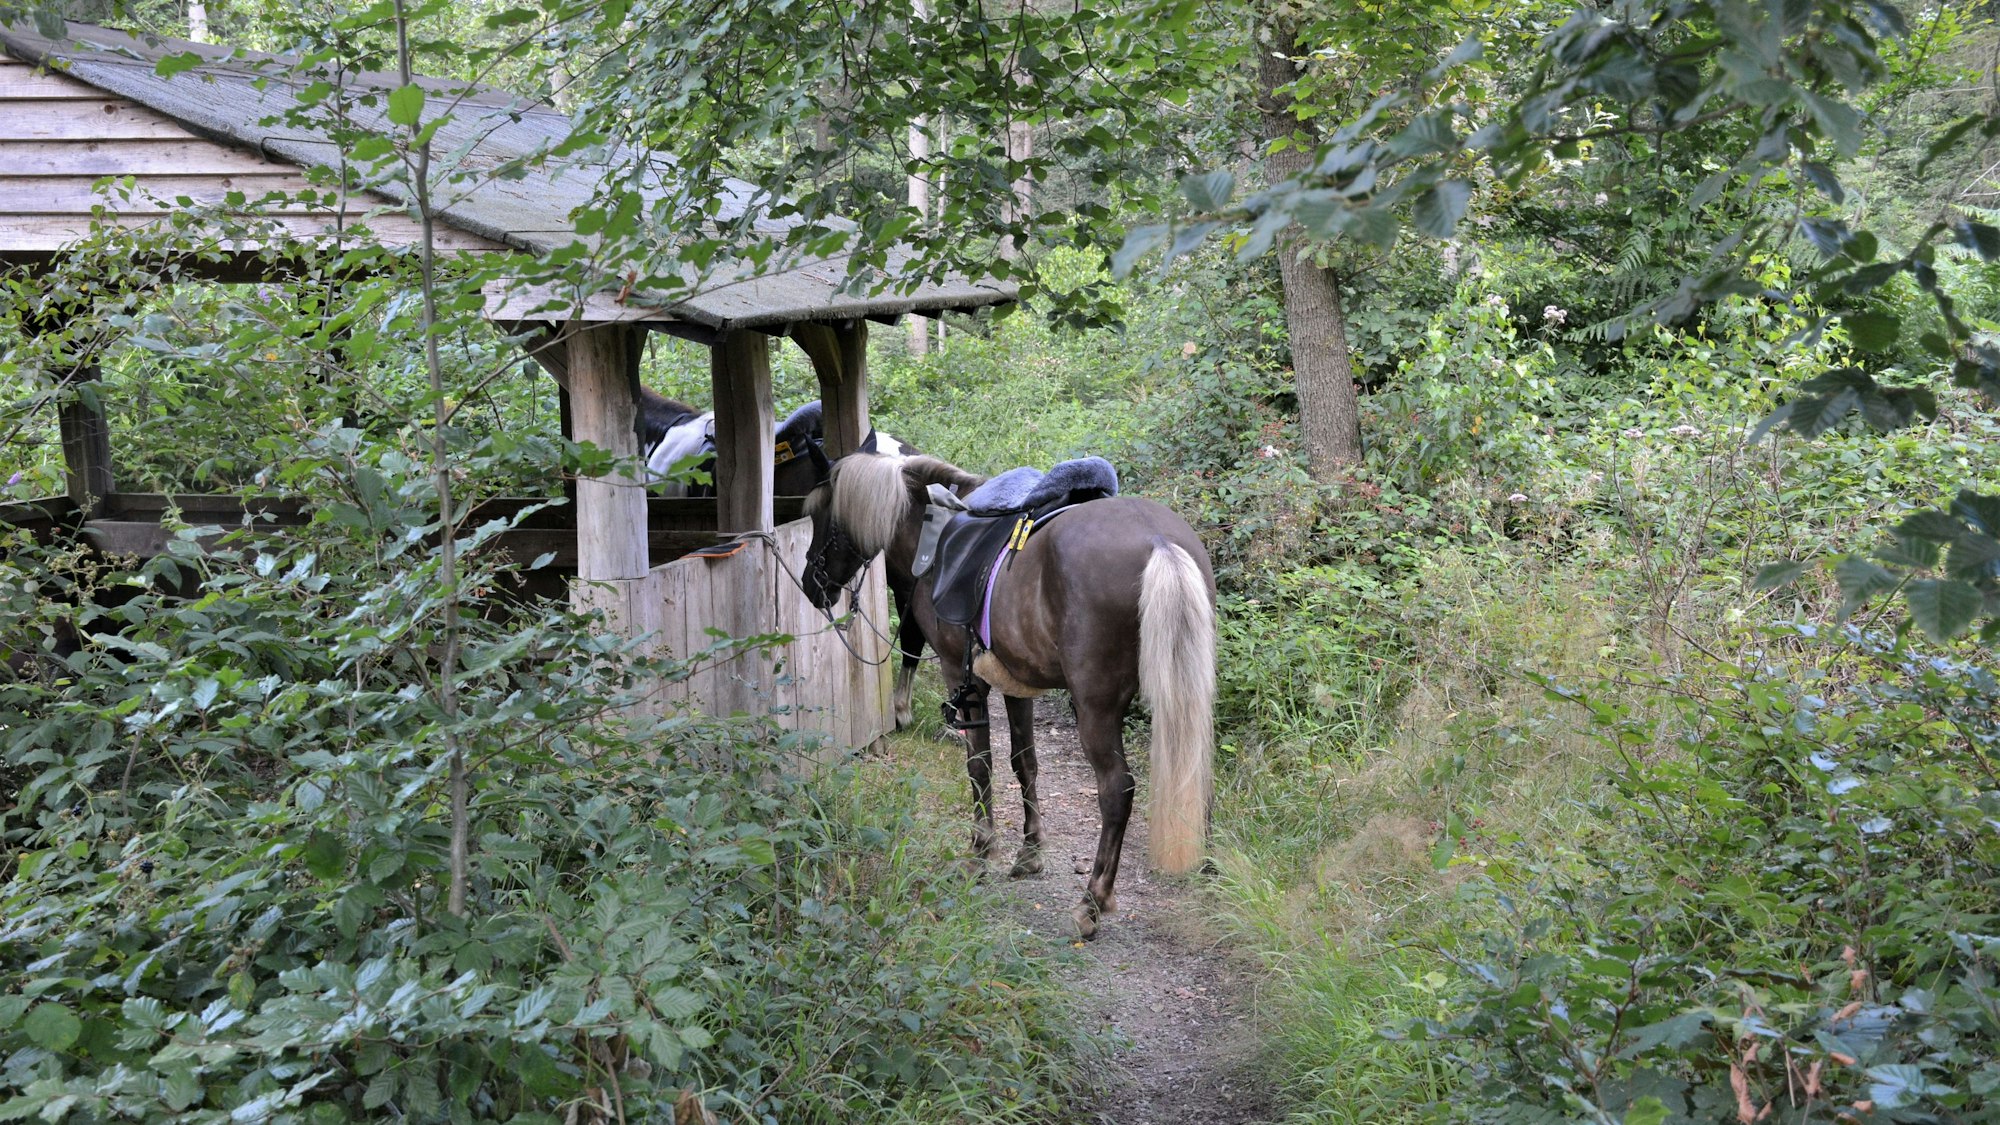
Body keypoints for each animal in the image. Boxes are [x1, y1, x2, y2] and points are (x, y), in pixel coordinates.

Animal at [800, 452, 1217, 939]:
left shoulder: (961, 676)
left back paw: (1092, 902)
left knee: (1117, 788)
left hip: (1095, 706)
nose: (811, 583)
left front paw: (981, 851)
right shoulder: (1018, 682)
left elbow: (980, 764)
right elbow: (1025, 762)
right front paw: (1030, 853)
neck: (930, 532)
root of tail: (1157, 540)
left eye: (823, 518)